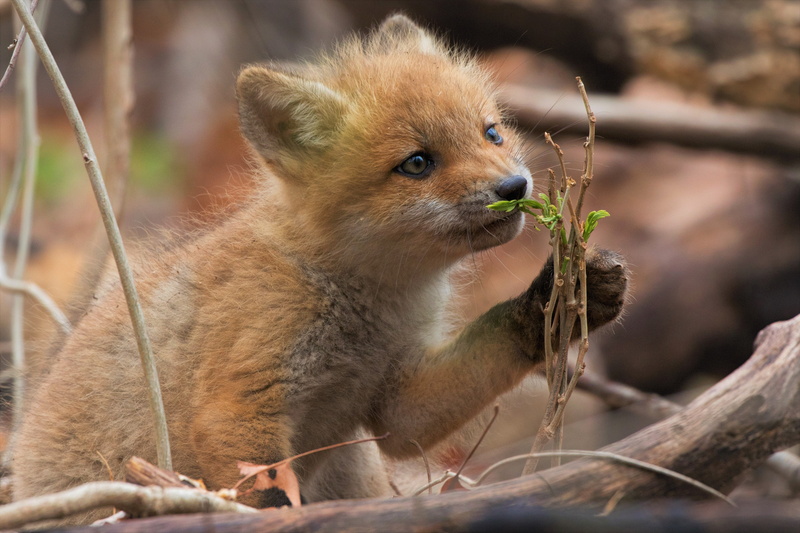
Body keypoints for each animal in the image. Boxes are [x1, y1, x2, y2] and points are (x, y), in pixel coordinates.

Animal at [12, 14, 627, 519]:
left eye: (492, 132)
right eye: (418, 164)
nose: (514, 187)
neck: (366, 307)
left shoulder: (394, 399)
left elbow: (484, 348)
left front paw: (568, 294)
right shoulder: (238, 406)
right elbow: (264, 500)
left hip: (353, 464)